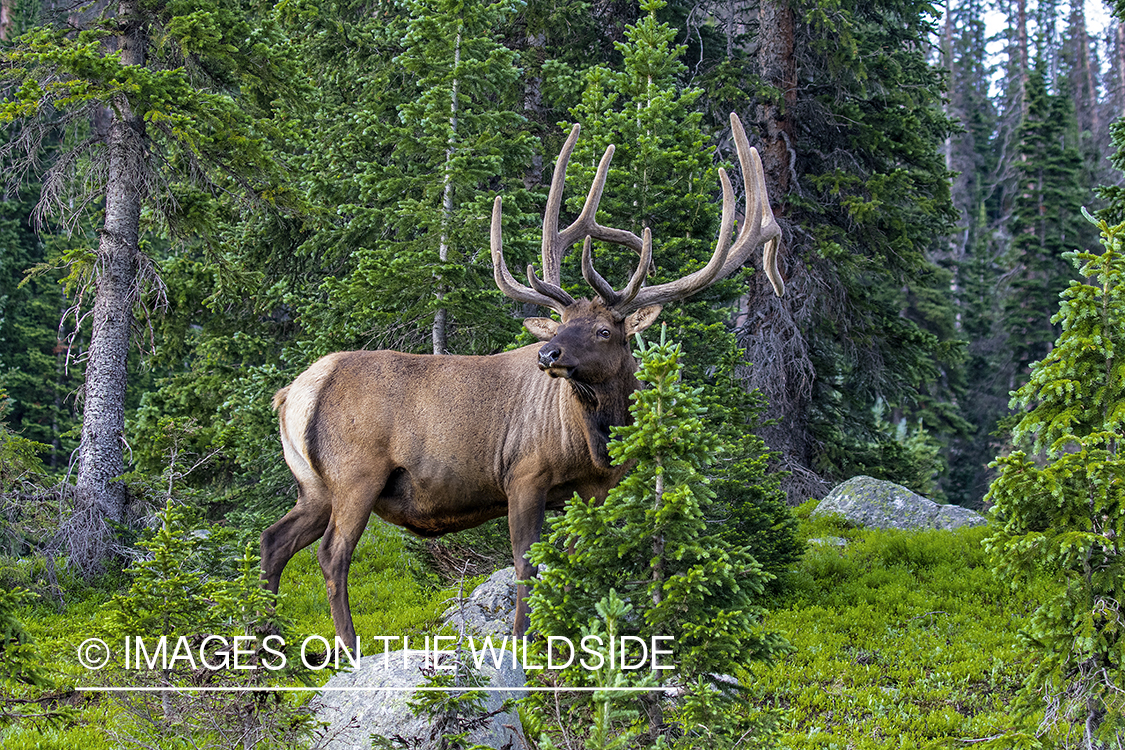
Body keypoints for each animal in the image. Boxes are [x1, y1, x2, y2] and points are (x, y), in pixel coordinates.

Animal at [261, 113, 783, 652]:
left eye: (603, 330)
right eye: (560, 323)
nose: (547, 354)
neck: (595, 442)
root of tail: (293, 393)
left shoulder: (590, 493)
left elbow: (569, 565)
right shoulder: (524, 474)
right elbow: (526, 566)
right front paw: (523, 640)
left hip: (313, 484)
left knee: (274, 540)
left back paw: (265, 633)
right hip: (356, 474)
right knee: (331, 554)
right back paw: (346, 646)